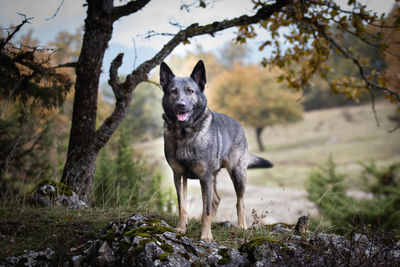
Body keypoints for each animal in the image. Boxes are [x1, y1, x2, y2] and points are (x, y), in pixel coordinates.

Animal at [159, 60, 272, 243]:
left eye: (190, 91)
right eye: (173, 92)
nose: (180, 105)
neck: (185, 134)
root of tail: (239, 124)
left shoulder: (205, 178)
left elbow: (206, 210)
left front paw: (206, 235)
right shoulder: (179, 176)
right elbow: (182, 205)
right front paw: (181, 228)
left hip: (237, 174)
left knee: (239, 202)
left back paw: (242, 226)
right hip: (214, 177)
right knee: (216, 200)